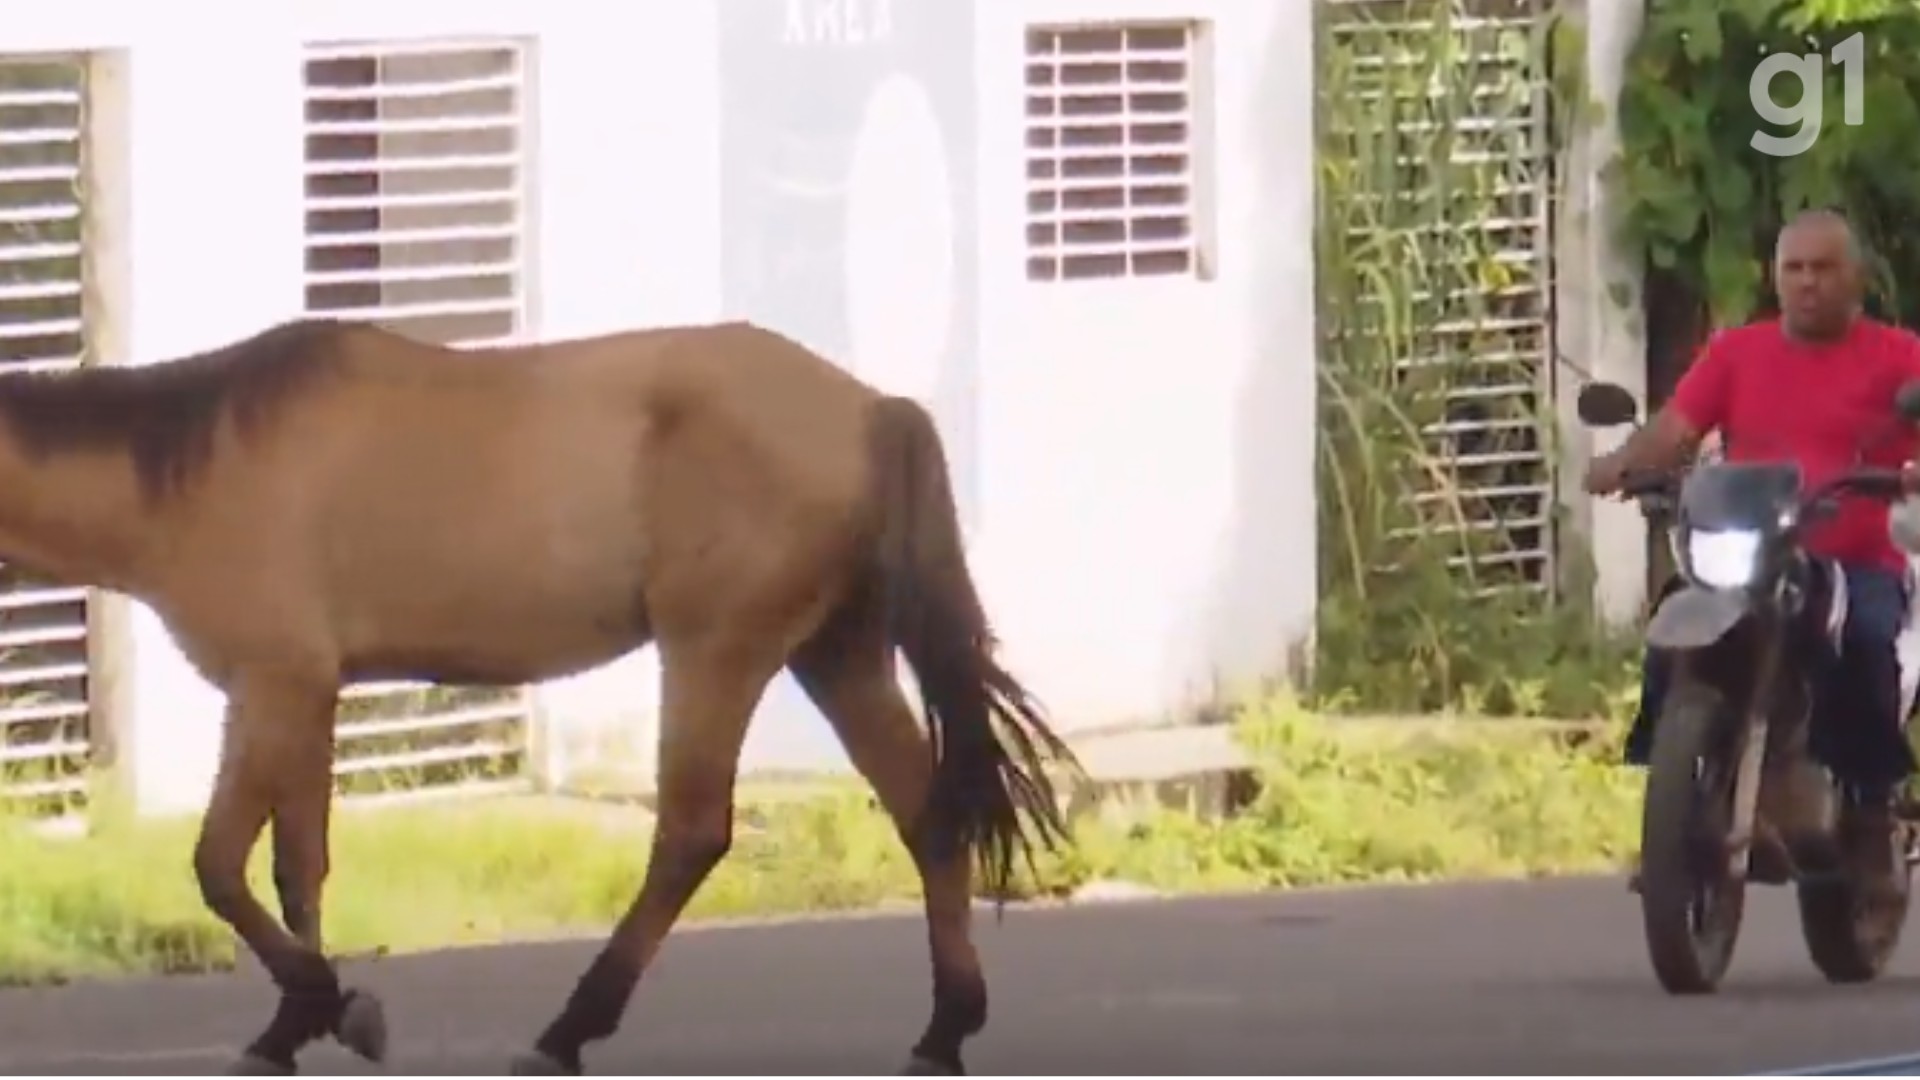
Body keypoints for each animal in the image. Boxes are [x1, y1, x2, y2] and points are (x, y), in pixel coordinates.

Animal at [0, 317, 1081, 1075]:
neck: (192, 465)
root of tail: (871, 409)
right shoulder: (304, 699)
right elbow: (297, 869)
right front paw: (296, 1024)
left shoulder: (274, 686)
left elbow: (220, 866)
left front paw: (330, 1007)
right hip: (837, 651)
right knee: (925, 812)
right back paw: (944, 1028)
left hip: (719, 651)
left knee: (692, 833)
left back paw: (568, 1029)